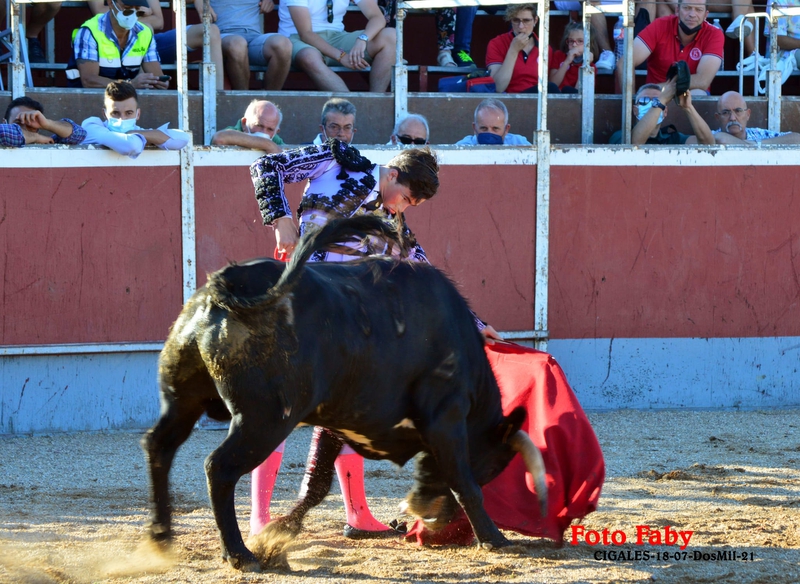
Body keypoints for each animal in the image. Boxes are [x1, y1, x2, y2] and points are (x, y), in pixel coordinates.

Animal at [141, 214, 548, 572]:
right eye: (493, 466)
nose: (432, 518)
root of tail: (226, 283)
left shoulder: (342, 417)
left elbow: (320, 481)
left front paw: (281, 531)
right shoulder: (446, 418)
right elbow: (464, 481)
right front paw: (495, 538)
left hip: (184, 399)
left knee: (159, 445)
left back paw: (162, 537)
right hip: (265, 418)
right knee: (220, 467)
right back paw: (240, 554)